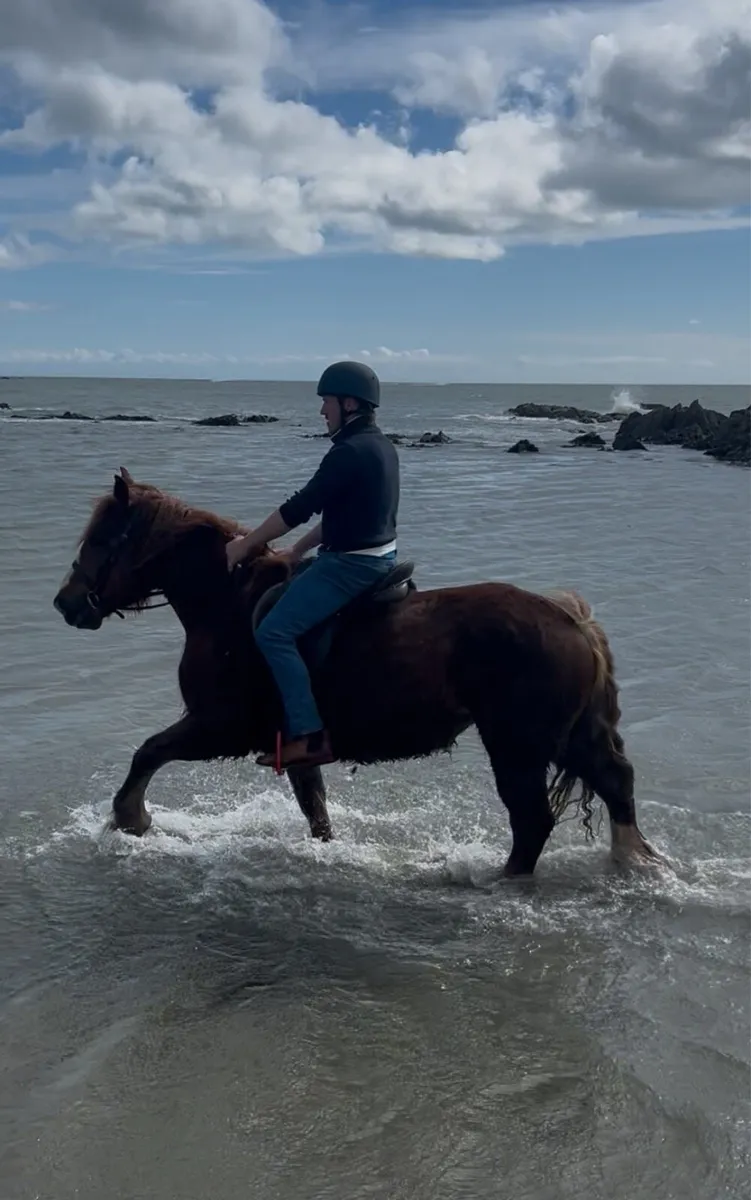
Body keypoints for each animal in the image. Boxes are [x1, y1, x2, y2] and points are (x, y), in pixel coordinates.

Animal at [52, 467, 665, 878]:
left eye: (103, 539)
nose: (66, 603)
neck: (225, 601)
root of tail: (571, 620)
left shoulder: (217, 728)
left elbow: (148, 752)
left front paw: (130, 819)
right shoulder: (292, 746)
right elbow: (315, 809)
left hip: (519, 744)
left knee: (532, 820)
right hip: (570, 735)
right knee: (615, 782)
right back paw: (632, 860)